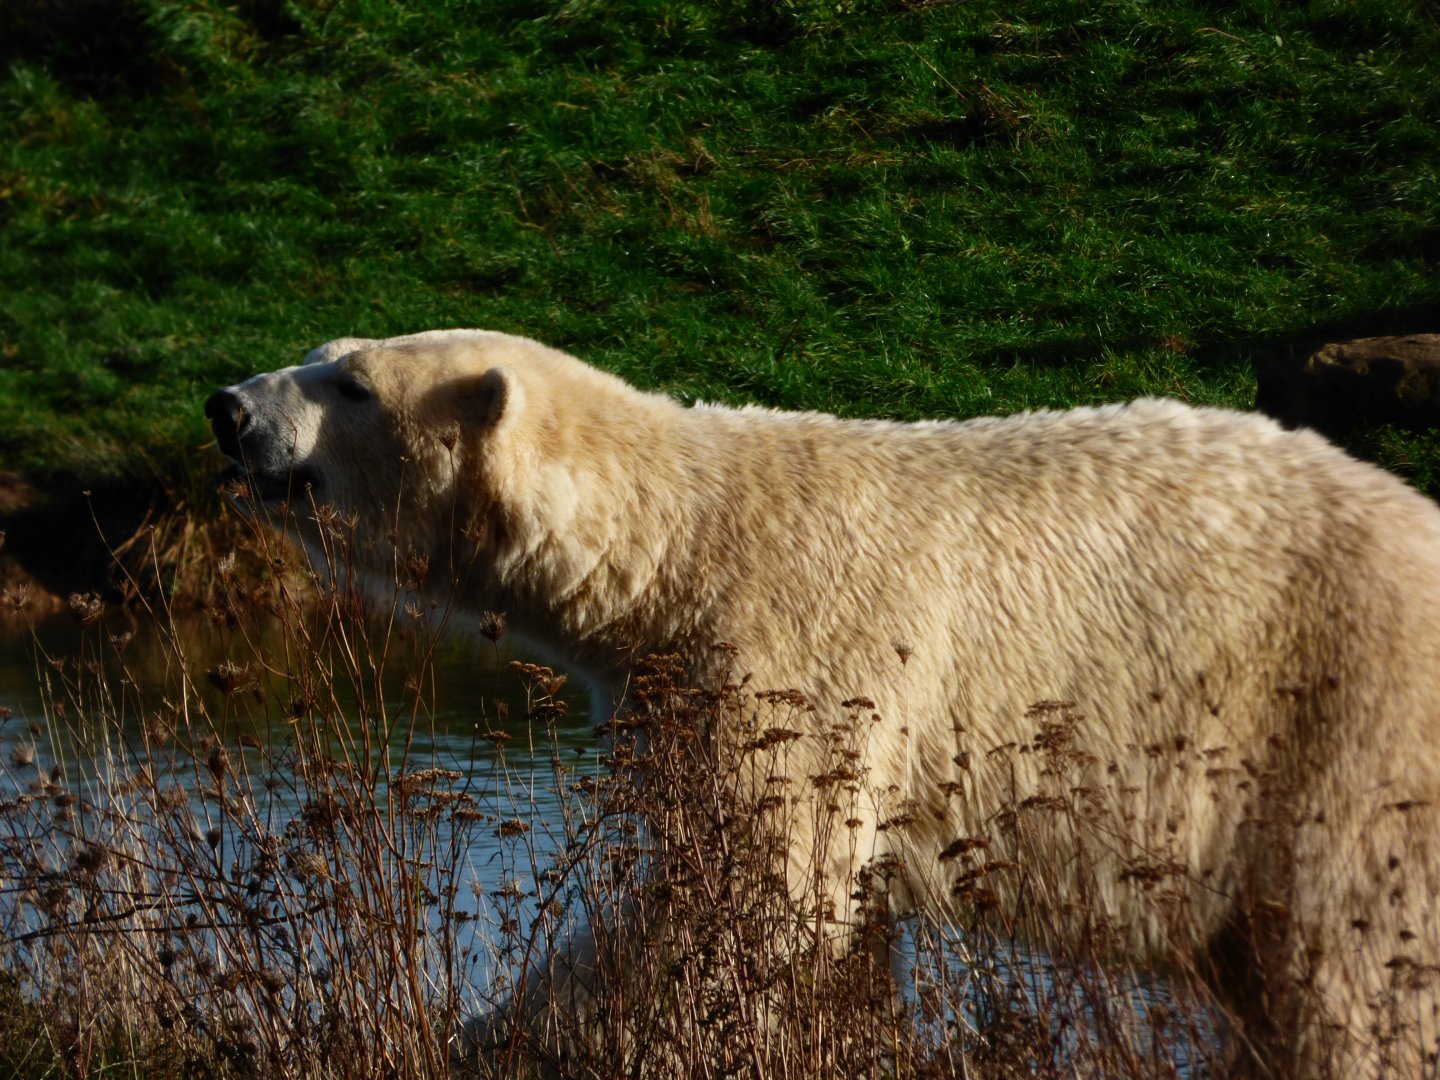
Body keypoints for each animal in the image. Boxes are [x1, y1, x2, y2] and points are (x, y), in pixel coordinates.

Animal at [207, 328, 1440, 1077]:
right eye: (313, 356)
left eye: (351, 383)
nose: (226, 406)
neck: (681, 541)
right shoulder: (677, 687)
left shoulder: (799, 659)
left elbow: (758, 901)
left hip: (1344, 731)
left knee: (1355, 969)